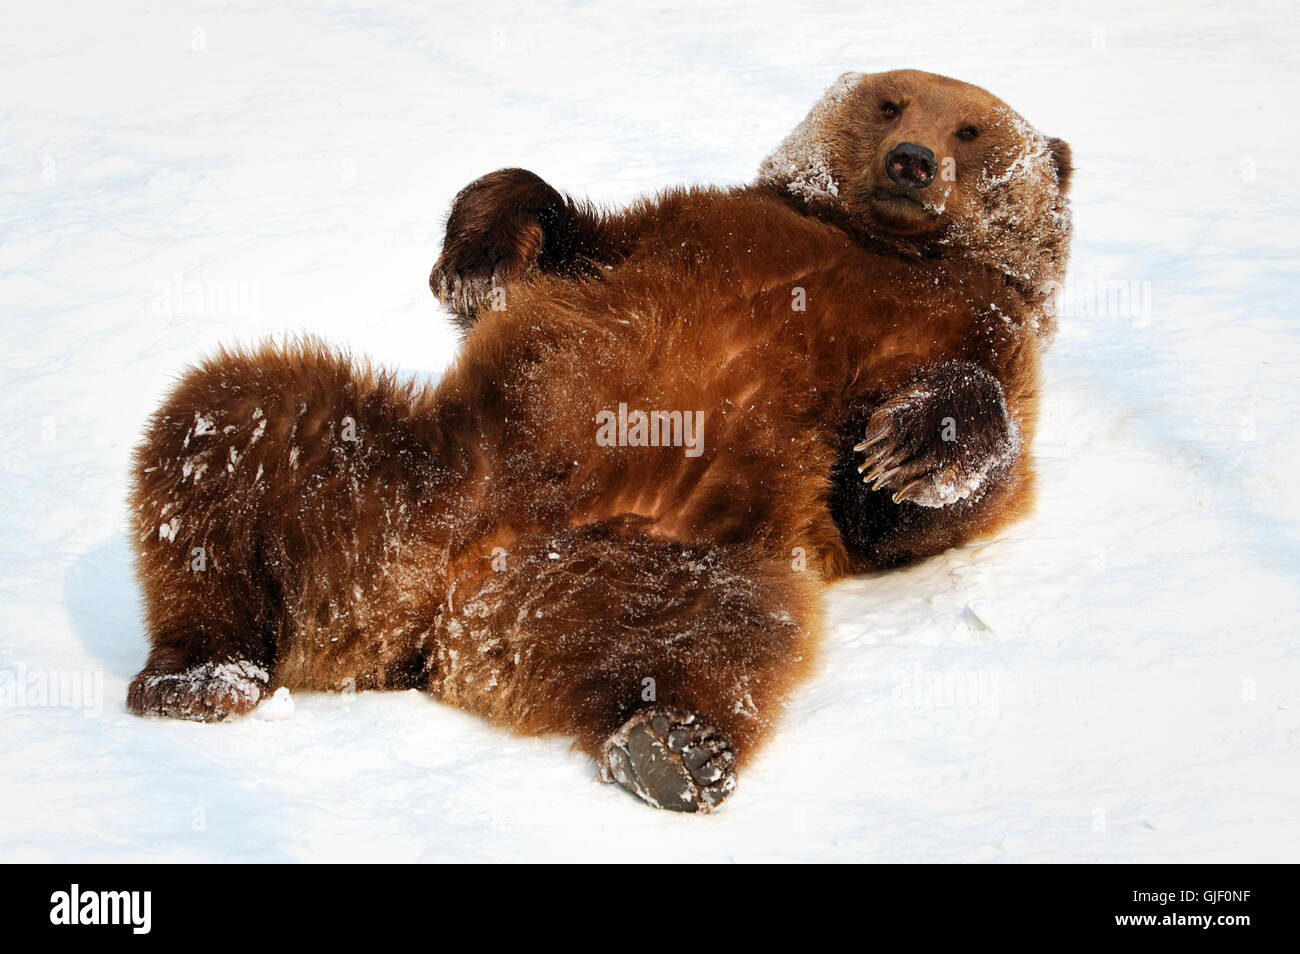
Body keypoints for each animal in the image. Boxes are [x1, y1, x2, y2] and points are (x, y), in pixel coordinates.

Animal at [126, 69, 1071, 816]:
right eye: (888, 102)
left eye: (972, 129)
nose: (911, 159)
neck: (880, 249)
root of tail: (440, 597)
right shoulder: (688, 227)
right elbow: (557, 236)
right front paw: (474, 251)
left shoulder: (977, 330)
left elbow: (908, 506)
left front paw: (911, 441)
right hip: (398, 466)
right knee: (235, 422)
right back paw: (195, 671)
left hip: (655, 559)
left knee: (722, 629)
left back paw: (676, 745)